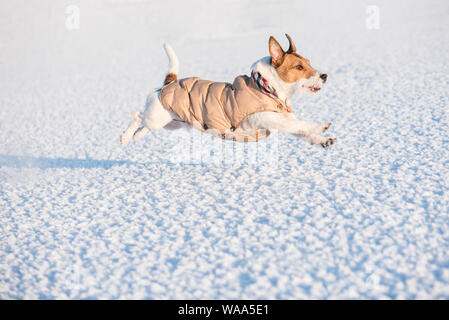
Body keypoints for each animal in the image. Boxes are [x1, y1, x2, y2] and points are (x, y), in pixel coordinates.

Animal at [120, 33, 336, 146]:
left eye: (309, 63)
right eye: (299, 67)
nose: (325, 76)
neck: (266, 88)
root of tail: (168, 84)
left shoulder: (281, 121)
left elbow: (301, 131)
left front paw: (322, 140)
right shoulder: (268, 119)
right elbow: (300, 124)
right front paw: (320, 126)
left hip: (171, 123)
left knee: (144, 124)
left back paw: (137, 136)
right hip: (156, 117)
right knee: (137, 116)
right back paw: (125, 136)